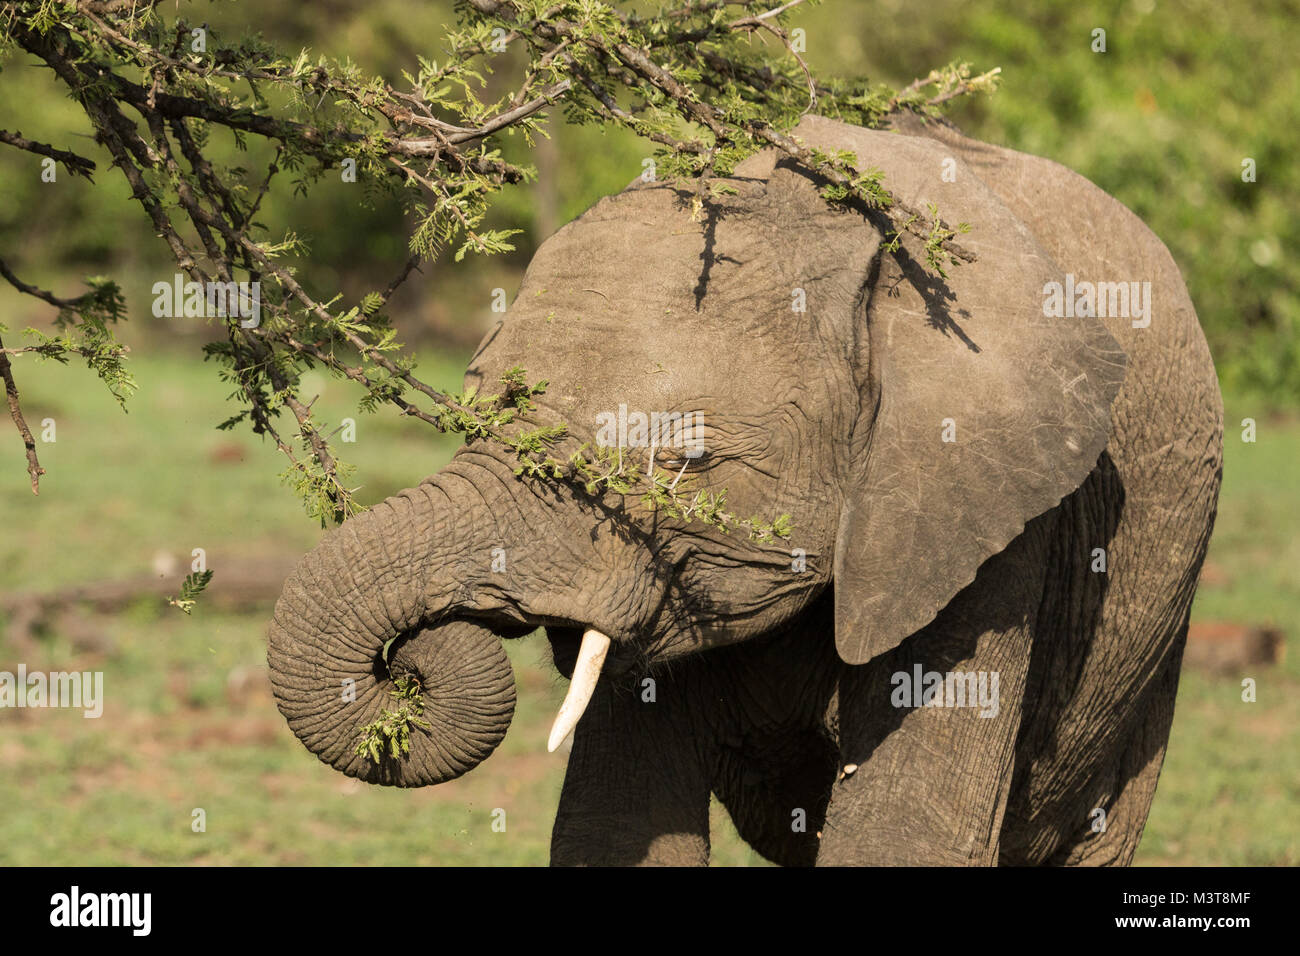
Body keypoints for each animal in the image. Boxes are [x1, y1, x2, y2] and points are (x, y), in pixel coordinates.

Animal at [267, 112, 1223, 866]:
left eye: (685, 461)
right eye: (472, 408)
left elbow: (898, 837)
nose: (414, 658)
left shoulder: (983, 523)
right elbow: (616, 828)